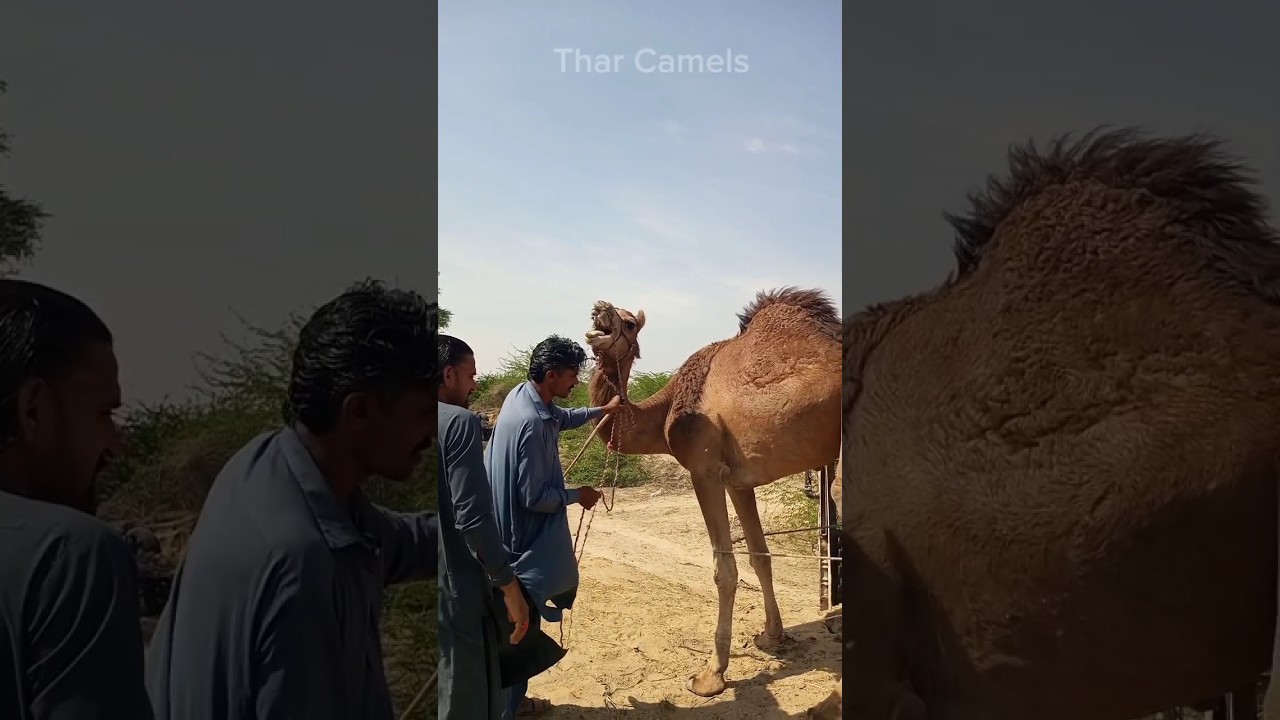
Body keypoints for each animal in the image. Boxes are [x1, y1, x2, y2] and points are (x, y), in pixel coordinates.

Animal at [582, 287, 841, 698]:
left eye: (629, 323)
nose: (600, 310)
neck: (666, 409)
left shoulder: (704, 471)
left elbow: (725, 569)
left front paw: (711, 673)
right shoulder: (739, 481)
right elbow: (760, 556)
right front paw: (773, 636)